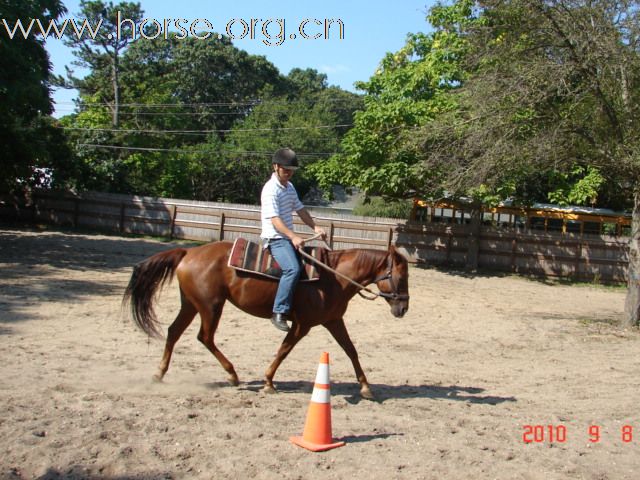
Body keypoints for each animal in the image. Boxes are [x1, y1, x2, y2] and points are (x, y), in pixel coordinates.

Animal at [122, 239, 410, 398]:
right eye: (401, 276)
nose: (404, 309)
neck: (333, 277)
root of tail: (188, 253)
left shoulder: (333, 321)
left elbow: (351, 351)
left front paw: (366, 387)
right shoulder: (302, 325)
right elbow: (283, 350)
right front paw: (269, 382)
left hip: (191, 305)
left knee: (174, 332)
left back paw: (159, 374)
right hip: (211, 306)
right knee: (205, 337)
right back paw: (232, 375)